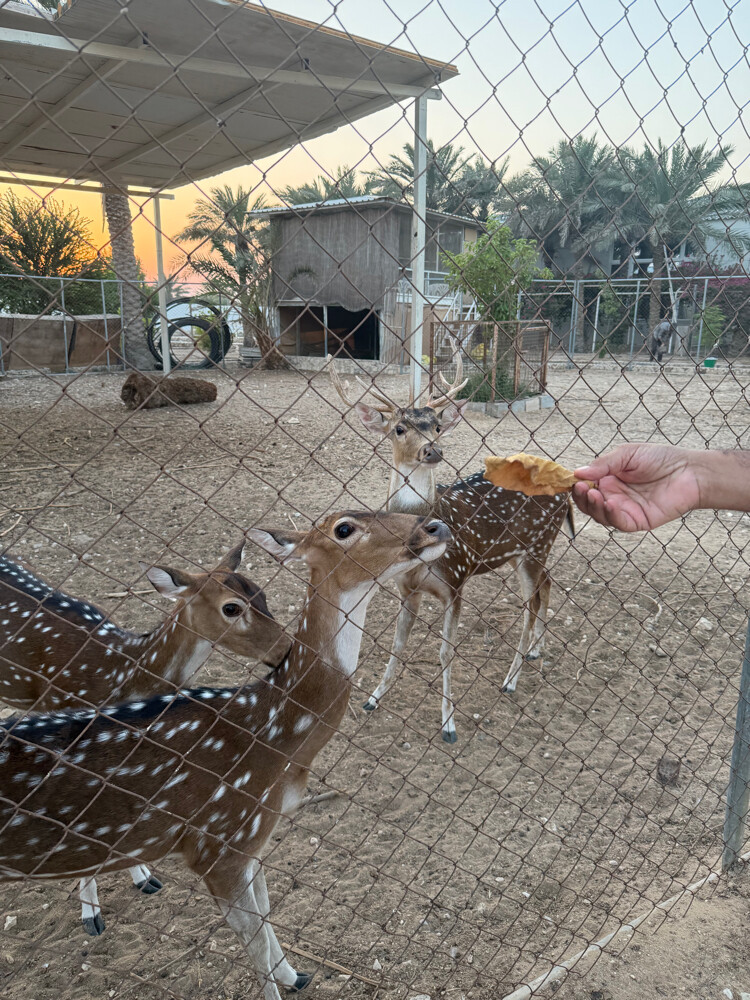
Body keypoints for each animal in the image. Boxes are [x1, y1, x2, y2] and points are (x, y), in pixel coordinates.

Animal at [0, 542, 291, 935]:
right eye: (232, 607)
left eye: (262, 594)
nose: (287, 648)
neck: (123, 674)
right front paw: (91, 916)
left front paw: (144, 878)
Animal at [328, 349, 575, 742]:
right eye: (399, 429)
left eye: (436, 426)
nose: (432, 450)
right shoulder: (406, 588)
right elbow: (397, 643)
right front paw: (373, 698)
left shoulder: (456, 581)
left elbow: (446, 652)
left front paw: (449, 724)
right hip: (527, 550)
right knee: (546, 585)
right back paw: (536, 650)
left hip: (537, 543)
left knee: (531, 604)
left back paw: (511, 679)